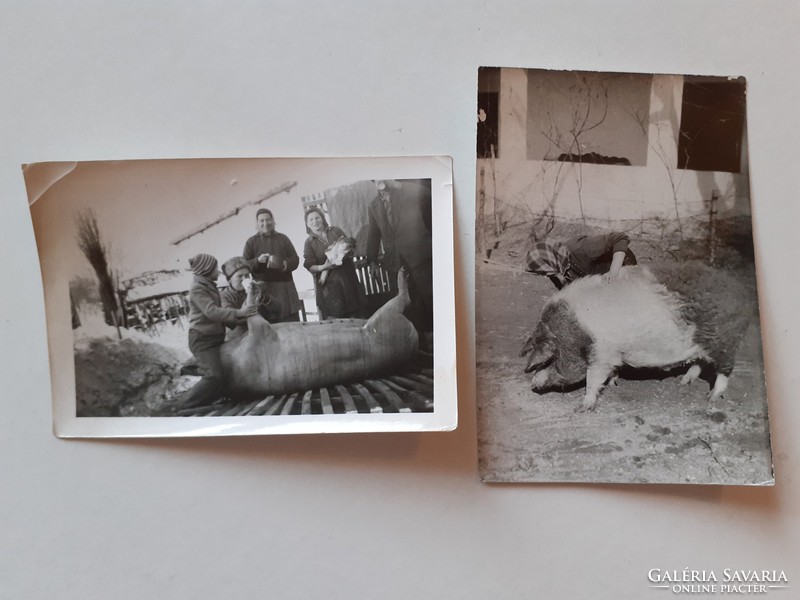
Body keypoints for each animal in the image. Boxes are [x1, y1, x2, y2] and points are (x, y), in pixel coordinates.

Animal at [520, 262, 752, 412]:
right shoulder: (612, 355)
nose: (533, 385)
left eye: (549, 359)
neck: (577, 333)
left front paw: (582, 408)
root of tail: (742, 294)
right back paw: (683, 382)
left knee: (724, 369)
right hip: (701, 344)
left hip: (724, 341)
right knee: (699, 363)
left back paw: (711, 398)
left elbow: (592, 380)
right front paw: (614, 383)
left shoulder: (601, 354)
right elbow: (610, 372)